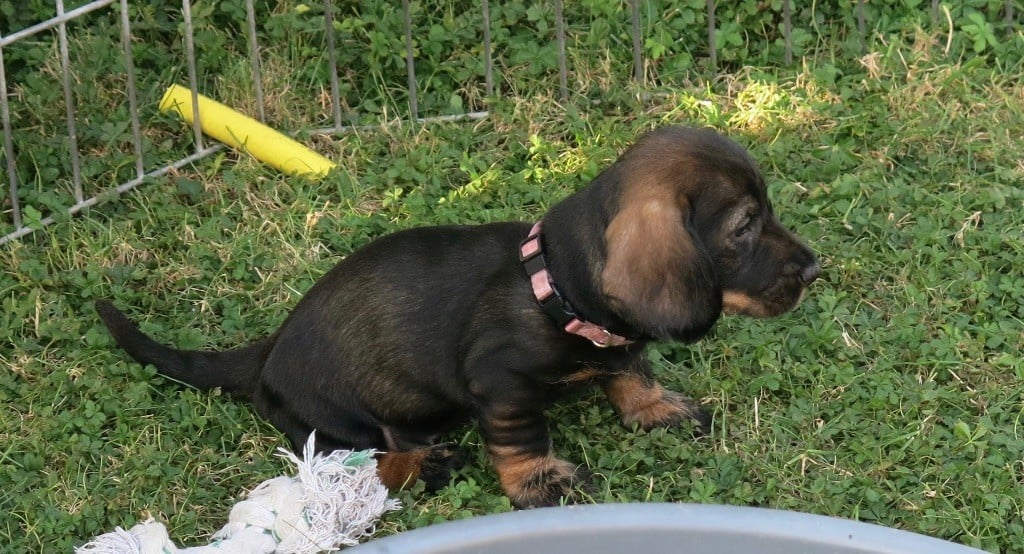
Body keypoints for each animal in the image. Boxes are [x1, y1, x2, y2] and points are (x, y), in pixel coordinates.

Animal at [94, 127, 815, 507]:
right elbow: (522, 439)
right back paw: (422, 463)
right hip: (335, 425)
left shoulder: (618, 346)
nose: (813, 270)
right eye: (744, 227)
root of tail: (264, 354)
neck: (554, 288)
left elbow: (630, 369)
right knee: (362, 459)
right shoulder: (502, 385)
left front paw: (655, 407)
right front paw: (539, 480)